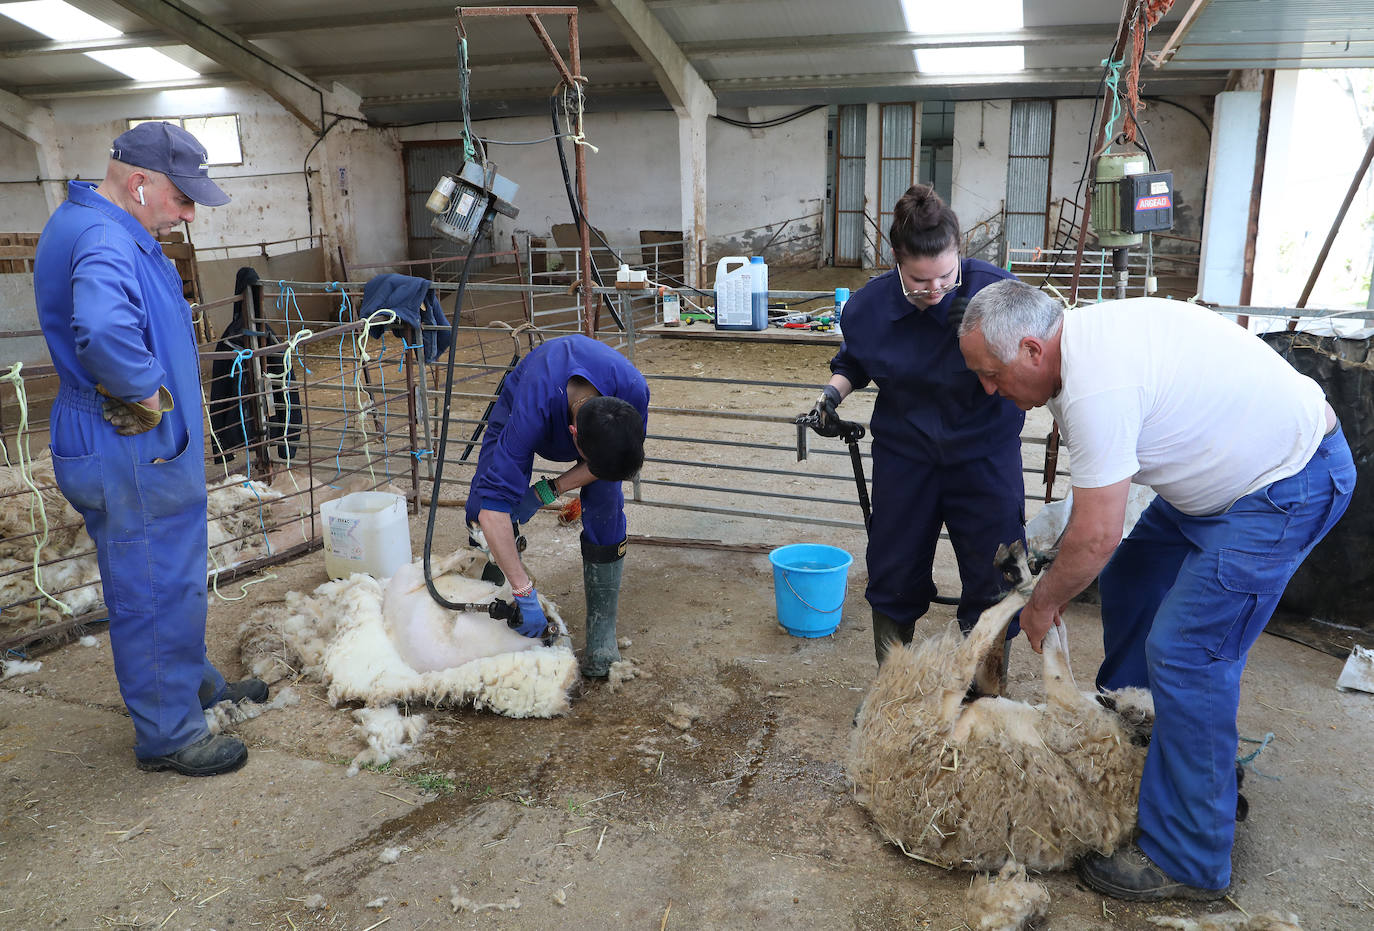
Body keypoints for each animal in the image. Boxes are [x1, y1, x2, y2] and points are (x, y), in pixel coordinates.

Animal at [846, 541, 1159, 873]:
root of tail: (868, 779)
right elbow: (1061, 645)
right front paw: (1051, 613)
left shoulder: (1069, 716)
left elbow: (1057, 661)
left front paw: (1040, 606)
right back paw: (1022, 573)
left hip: (937, 693)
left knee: (982, 627)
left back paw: (1024, 582)